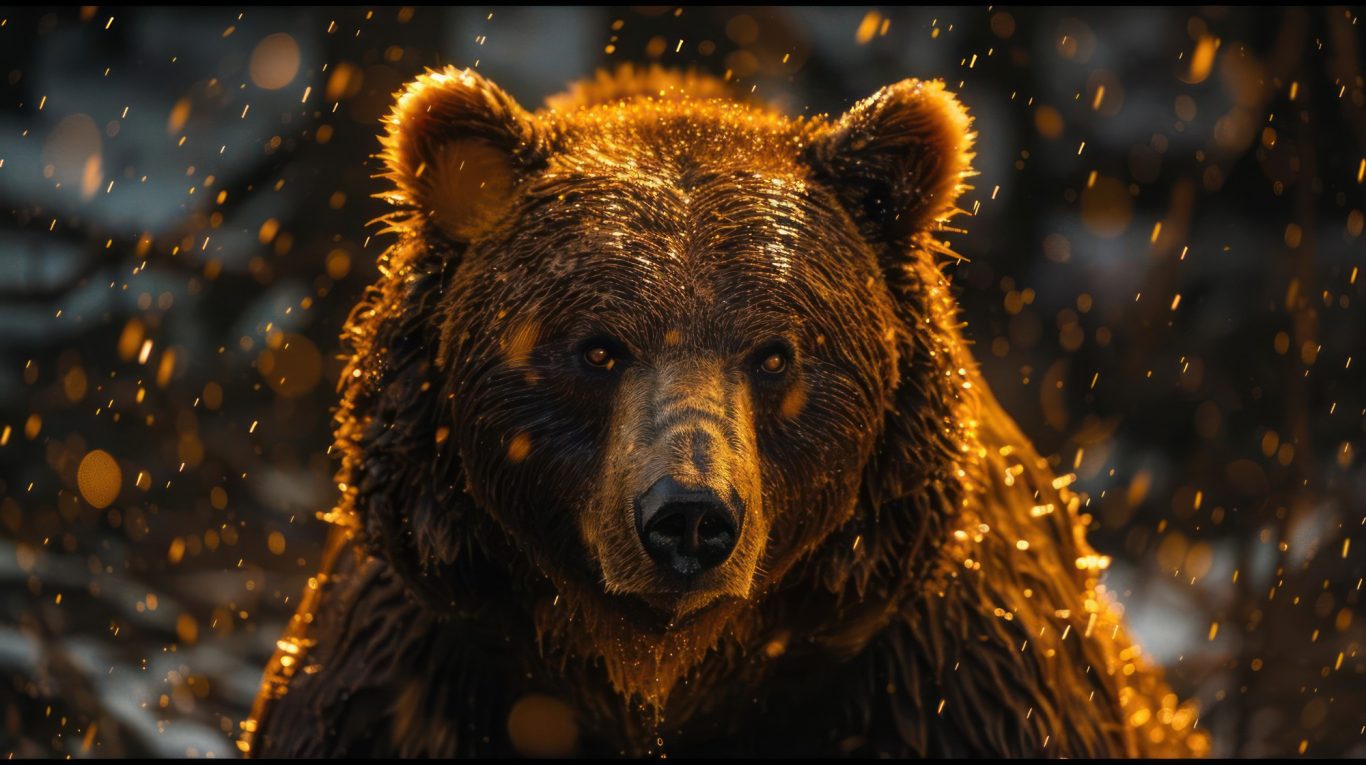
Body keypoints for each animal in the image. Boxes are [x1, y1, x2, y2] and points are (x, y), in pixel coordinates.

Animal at [242, 65, 1208, 758]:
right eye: (597, 347)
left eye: (776, 352)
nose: (690, 518)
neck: (661, 679)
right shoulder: (409, 673)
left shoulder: (948, 678)